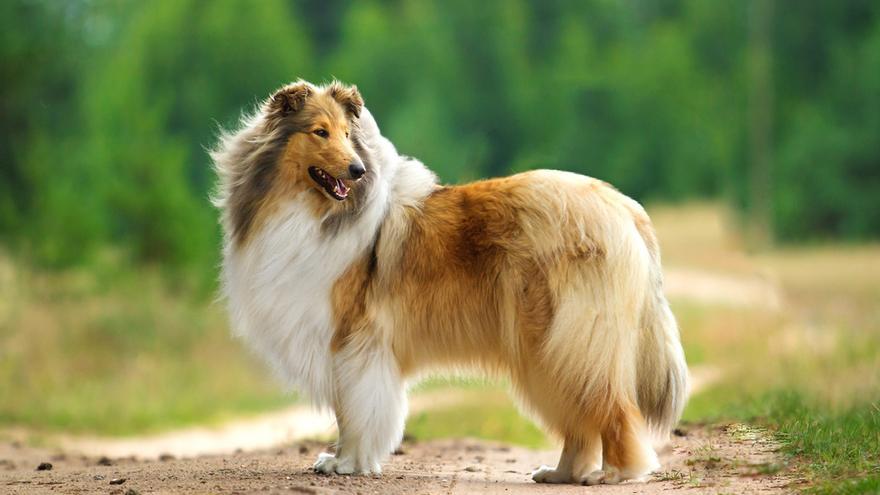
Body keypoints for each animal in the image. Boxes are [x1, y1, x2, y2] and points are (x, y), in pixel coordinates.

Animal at [211, 80, 688, 484]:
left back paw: (615, 474)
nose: (358, 170)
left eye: (348, 133)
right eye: (320, 132)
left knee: (611, 408)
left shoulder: (354, 341)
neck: (308, 210)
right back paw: (560, 473)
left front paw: (347, 463)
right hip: (549, 349)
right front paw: (344, 459)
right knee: (580, 420)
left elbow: (355, 411)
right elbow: (348, 411)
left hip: (566, 342)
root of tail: (623, 206)